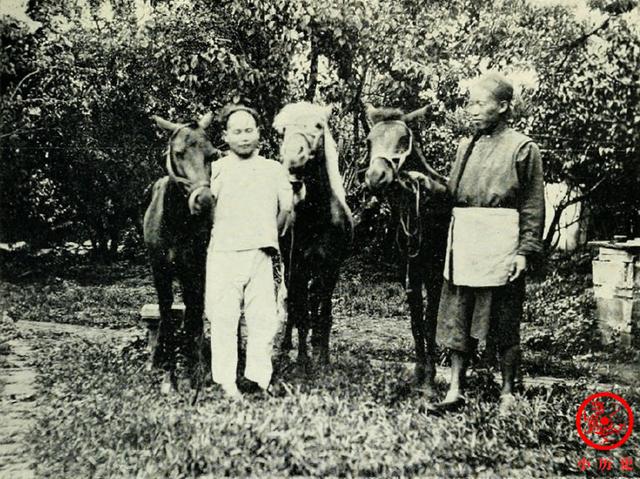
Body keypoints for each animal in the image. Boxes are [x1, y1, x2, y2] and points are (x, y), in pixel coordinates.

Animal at [143, 113, 218, 394]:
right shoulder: (160, 273)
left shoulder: (194, 271)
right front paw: (168, 375)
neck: (175, 221)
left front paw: (192, 372)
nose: (204, 201)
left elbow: (193, 318)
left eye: (213, 155)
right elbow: (167, 317)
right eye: (178, 153)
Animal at [272, 103, 356, 370]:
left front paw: (323, 357)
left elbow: (324, 312)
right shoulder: (298, 266)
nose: (293, 156)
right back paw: (286, 347)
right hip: (291, 268)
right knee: (293, 303)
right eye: (283, 130)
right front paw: (302, 360)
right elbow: (301, 314)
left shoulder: (331, 268)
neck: (318, 218)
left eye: (318, 126)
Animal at [364, 106, 450, 398]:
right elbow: (415, 322)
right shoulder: (409, 274)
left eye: (404, 139)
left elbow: (430, 321)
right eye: (369, 141)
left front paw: (430, 382)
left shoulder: (435, 276)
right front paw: (419, 375)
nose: (376, 177)